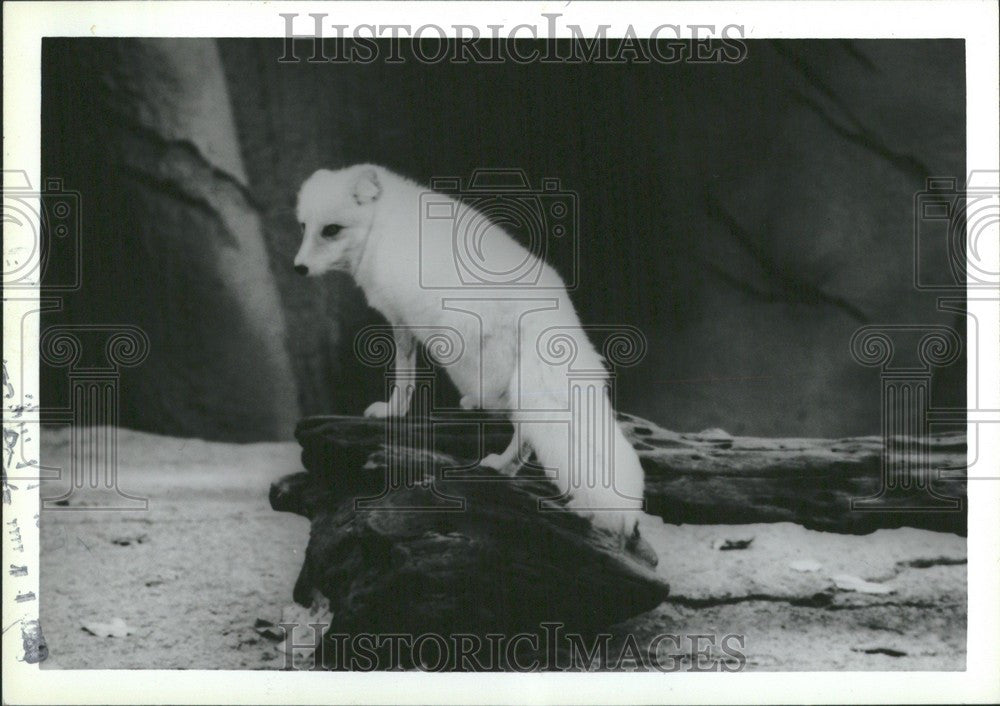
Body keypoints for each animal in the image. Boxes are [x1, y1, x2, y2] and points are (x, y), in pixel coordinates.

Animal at [292, 165, 644, 536]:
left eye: (331, 230)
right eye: (303, 226)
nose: (298, 267)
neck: (379, 224)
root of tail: (547, 309)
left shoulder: (399, 319)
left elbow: (403, 376)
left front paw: (392, 411)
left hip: (471, 367)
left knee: (521, 424)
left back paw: (500, 463)